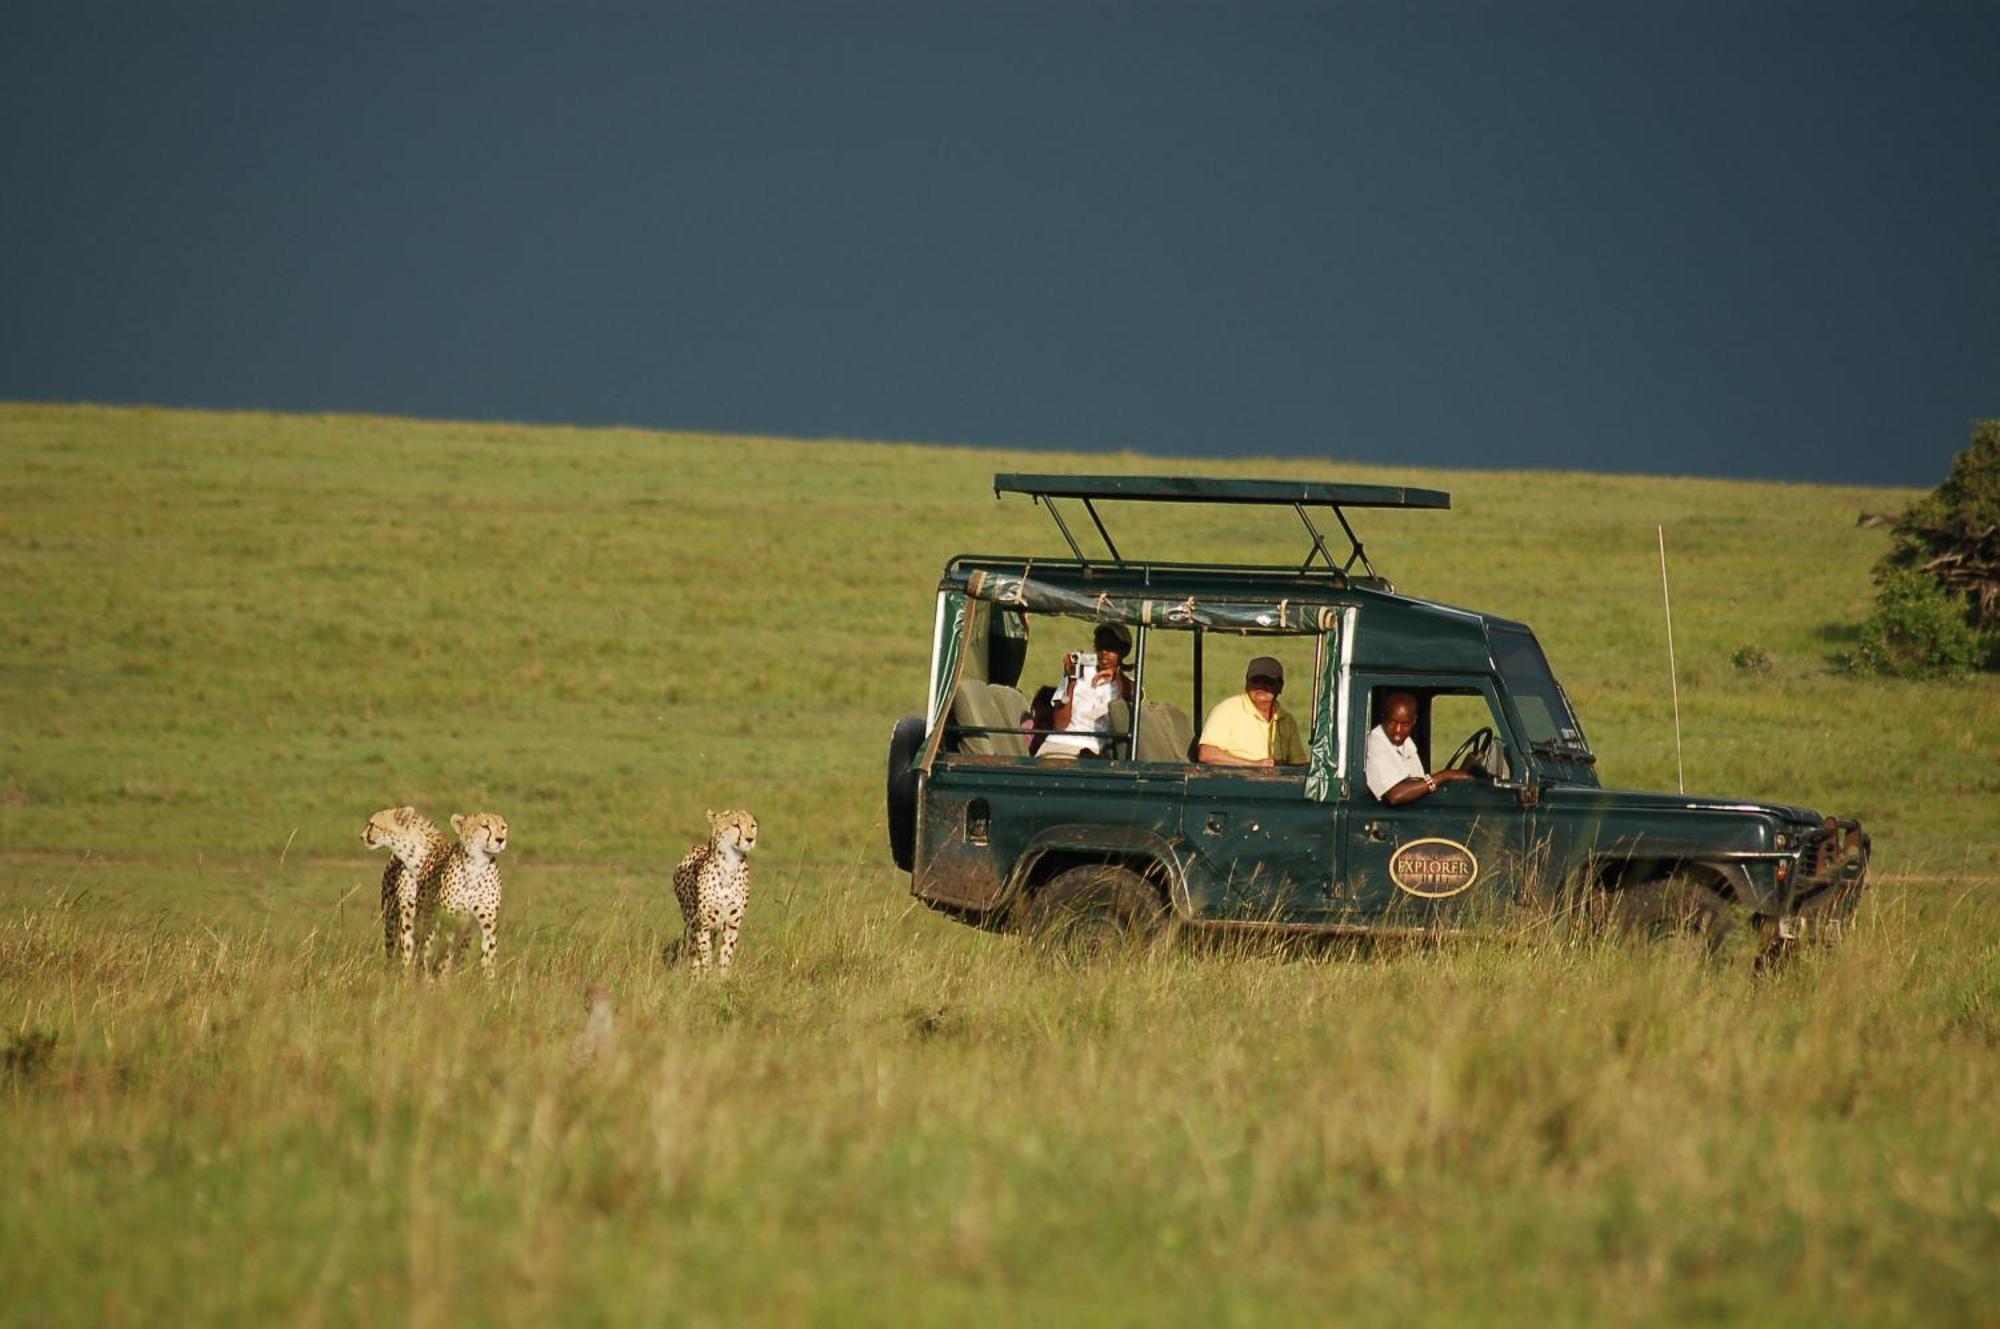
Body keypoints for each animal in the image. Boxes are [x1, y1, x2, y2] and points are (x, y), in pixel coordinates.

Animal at [364, 804, 454, 972]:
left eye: (373, 824)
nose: (362, 836)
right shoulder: (407, 910)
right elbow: (408, 947)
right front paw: (407, 974)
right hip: (390, 919)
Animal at [676, 808, 760, 976]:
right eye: (736, 825)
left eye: (752, 826)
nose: (750, 839)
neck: (729, 864)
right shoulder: (704, 924)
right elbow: (705, 954)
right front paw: (706, 975)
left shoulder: (732, 923)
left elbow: (726, 954)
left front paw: (721, 979)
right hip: (691, 922)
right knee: (693, 949)